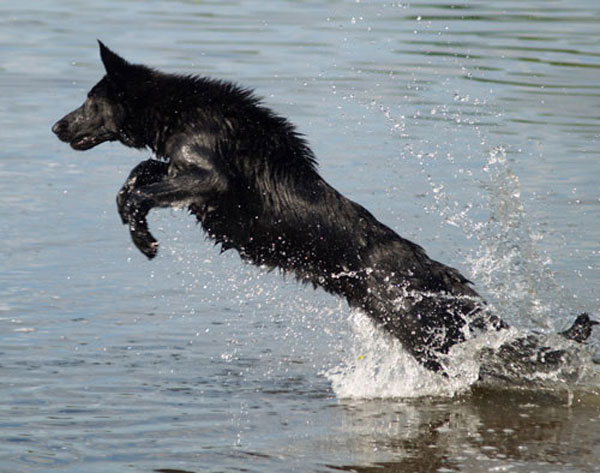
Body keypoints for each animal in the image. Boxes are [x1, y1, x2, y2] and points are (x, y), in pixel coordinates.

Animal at [52, 41, 596, 372]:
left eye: (89, 100)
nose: (56, 127)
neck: (179, 108)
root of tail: (443, 276)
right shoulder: (176, 168)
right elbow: (136, 175)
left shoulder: (208, 176)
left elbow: (137, 189)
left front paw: (142, 238)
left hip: (426, 336)